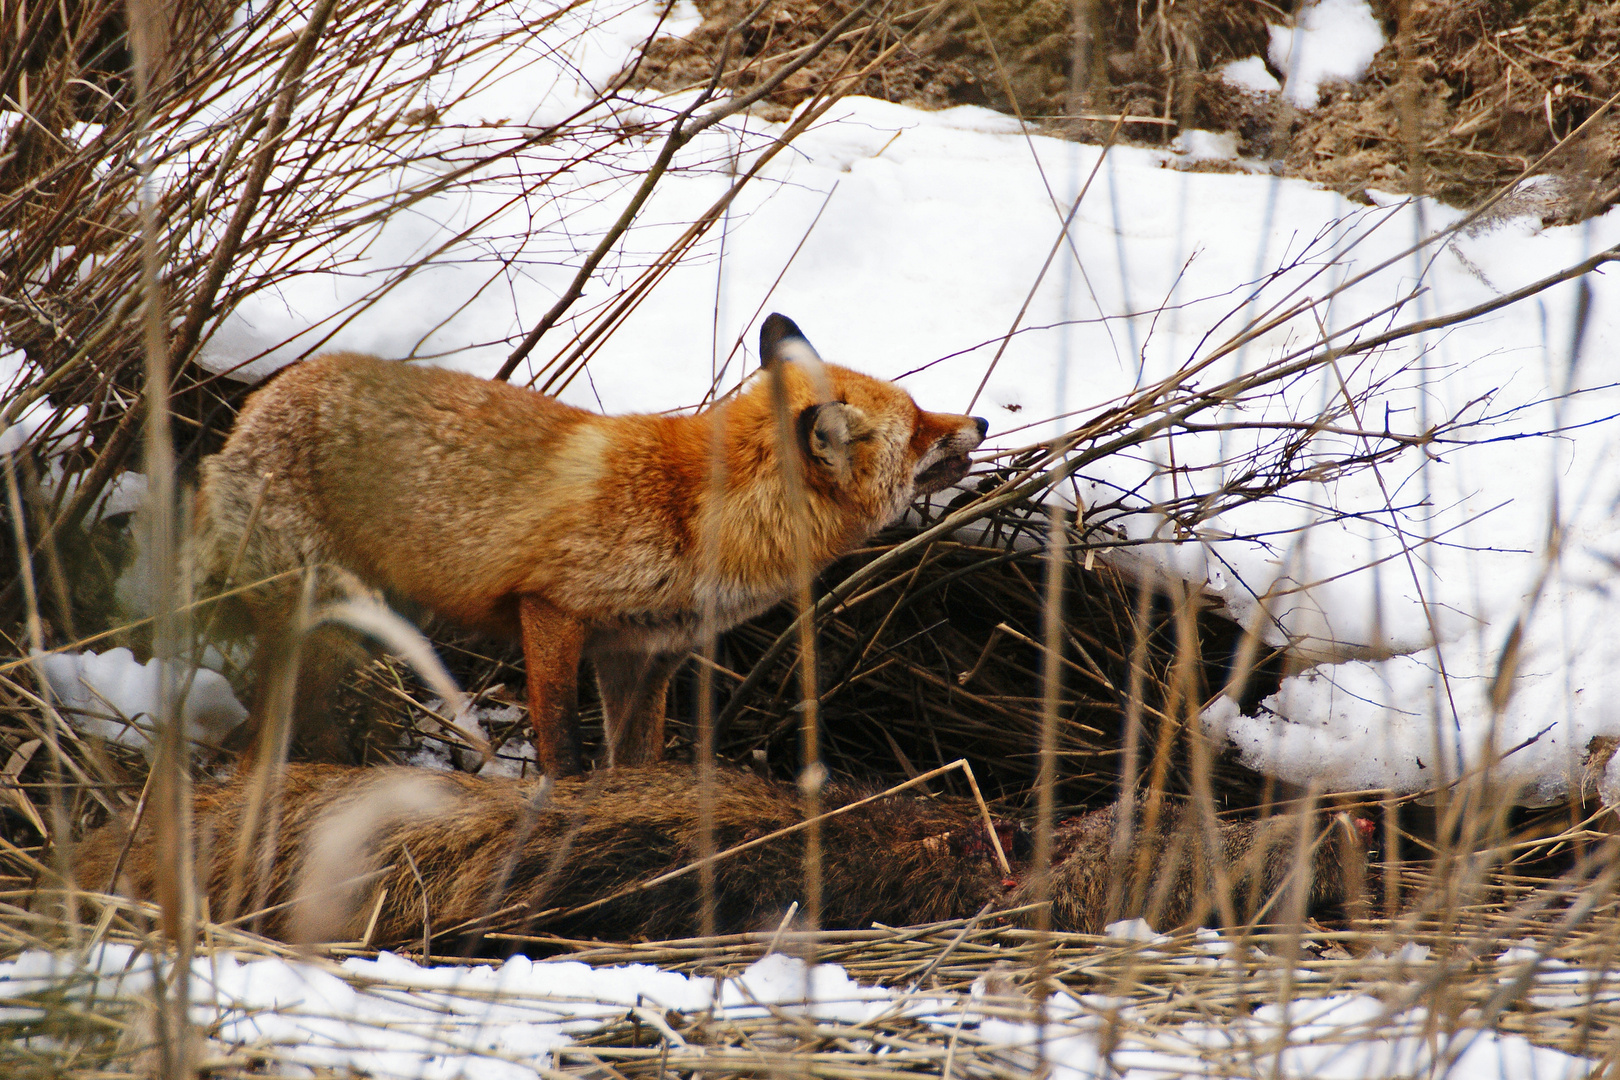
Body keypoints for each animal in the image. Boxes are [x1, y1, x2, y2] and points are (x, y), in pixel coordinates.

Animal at [202, 314, 984, 777]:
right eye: (919, 423)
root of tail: (255, 403)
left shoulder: (644, 652)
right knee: (268, 731)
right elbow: (564, 744)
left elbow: (634, 761)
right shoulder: (551, 609)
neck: (700, 514)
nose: (977, 422)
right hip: (328, 623)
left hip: (375, 624)